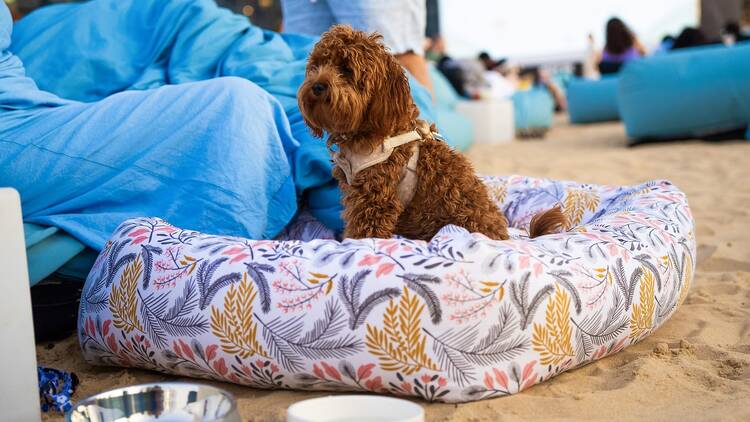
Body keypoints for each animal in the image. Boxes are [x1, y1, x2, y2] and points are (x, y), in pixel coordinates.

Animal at [300, 24, 564, 239]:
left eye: (346, 70)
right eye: (317, 66)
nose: (317, 86)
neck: (372, 130)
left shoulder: (375, 199)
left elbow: (364, 233)